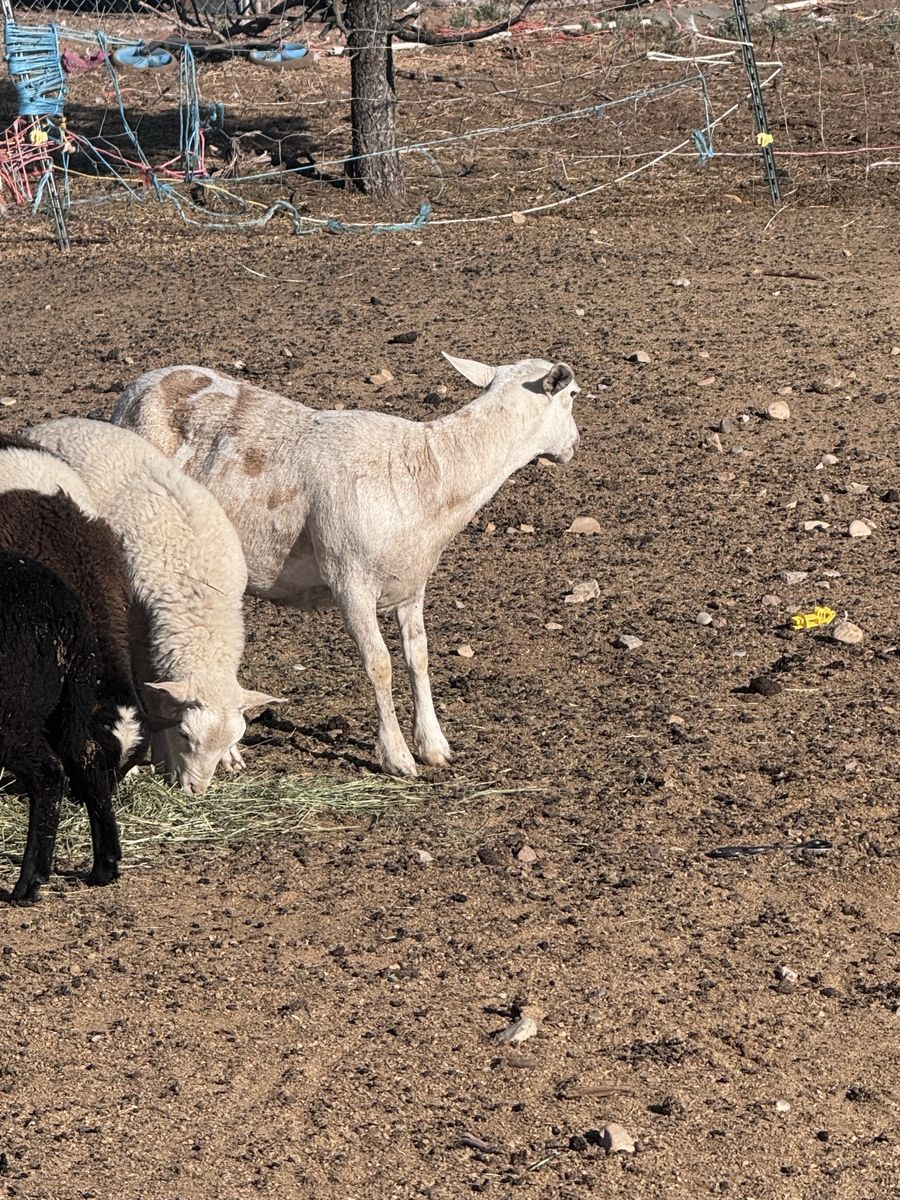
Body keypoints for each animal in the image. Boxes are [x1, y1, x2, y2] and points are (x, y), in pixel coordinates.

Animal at [0, 551, 123, 904]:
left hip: (13, 713)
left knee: (48, 774)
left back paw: (28, 883)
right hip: (72, 699)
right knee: (87, 756)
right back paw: (105, 865)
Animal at [23, 418, 281, 794]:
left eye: (234, 737)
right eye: (185, 734)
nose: (196, 791)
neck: (199, 598)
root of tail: (55, 422)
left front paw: (231, 758)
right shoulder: (140, 639)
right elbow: (152, 699)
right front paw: (159, 760)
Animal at [111, 354, 580, 777]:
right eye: (574, 395)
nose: (575, 445)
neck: (431, 475)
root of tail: (138, 388)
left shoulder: (412, 583)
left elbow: (419, 657)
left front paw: (434, 746)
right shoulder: (349, 580)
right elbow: (380, 665)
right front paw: (396, 756)